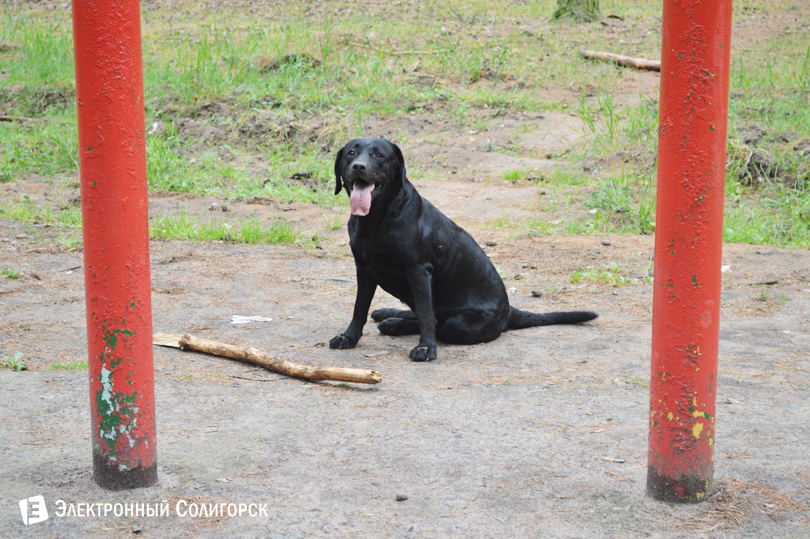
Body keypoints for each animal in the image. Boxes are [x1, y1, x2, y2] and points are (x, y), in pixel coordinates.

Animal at [326, 138, 596, 362]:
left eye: (379, 155)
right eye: (351, 153)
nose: (359, 166)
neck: (376, 220)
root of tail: (509, 312)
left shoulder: (418, 271)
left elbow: (425, 316)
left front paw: (426, 349)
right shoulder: (364, 269)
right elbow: (359, 309)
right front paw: (348, 337)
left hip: (459, 322)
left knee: (436, 321)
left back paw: (395, 324)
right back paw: (389, 315)